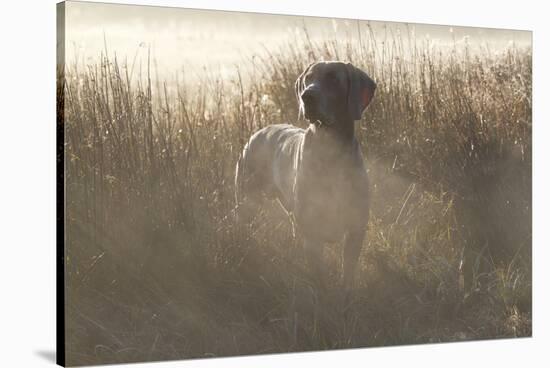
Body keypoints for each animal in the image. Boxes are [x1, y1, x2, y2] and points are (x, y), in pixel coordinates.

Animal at [235, 60, 378, 288]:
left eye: (333, 78)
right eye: (308, 78)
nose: (307, 96)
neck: (331, 153)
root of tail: (256, 133)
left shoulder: (356, 229)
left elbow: (347, 274)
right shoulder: (313, 234)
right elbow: (319, 276)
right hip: (246, 203)